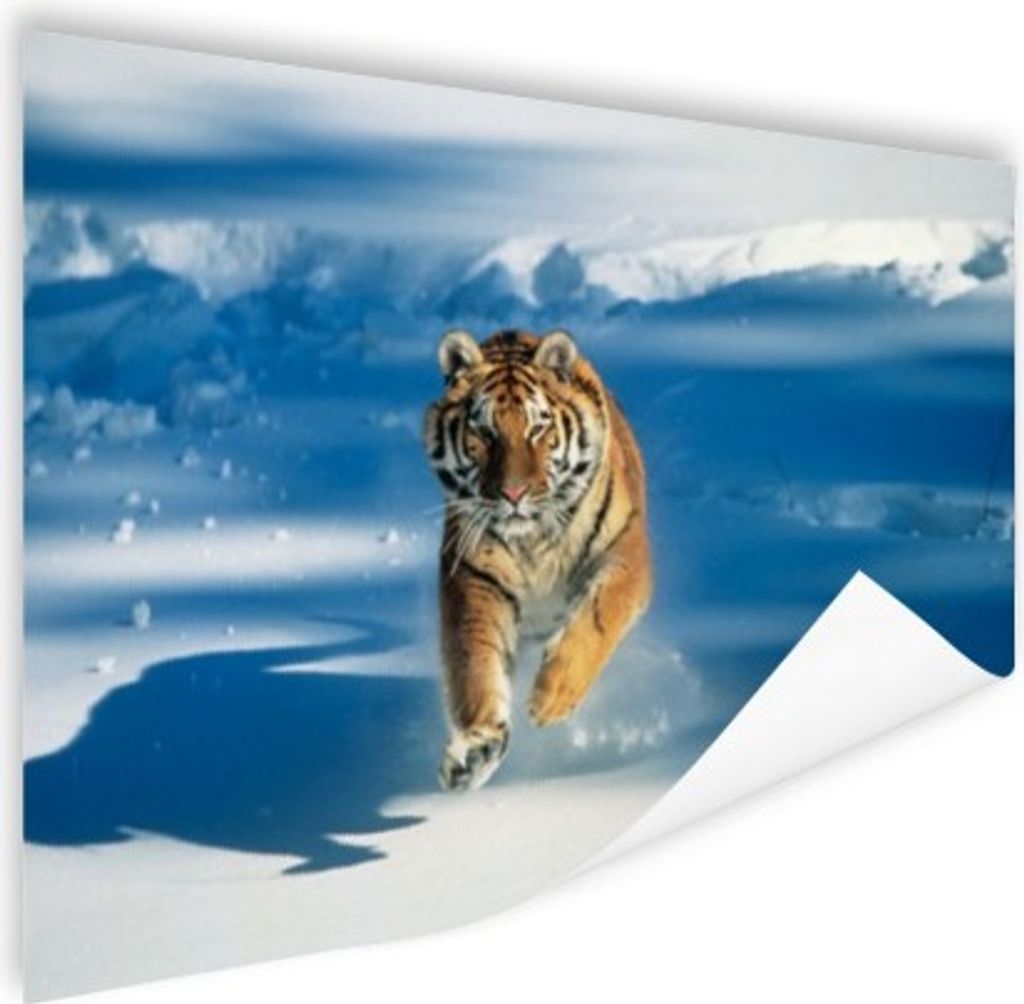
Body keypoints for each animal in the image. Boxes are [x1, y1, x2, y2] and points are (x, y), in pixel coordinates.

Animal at [423, 327, 652, 791]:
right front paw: (475, 750)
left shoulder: (626, 555)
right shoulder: (475, 577)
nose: (513, 494)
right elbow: (475, 661)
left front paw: (552, 698)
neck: (534, 537)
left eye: (538, 428)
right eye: (484, 431)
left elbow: (597, 620)